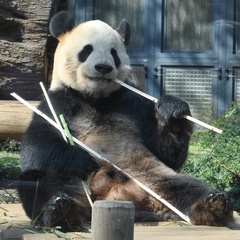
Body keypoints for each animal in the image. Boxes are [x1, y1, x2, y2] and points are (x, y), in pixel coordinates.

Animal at [16, 10, 232, 230]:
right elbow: (37, 147)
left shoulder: (132, 103)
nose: (103, 67)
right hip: (71, 180)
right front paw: (81, 159)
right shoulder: (58, 103)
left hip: (152, 176)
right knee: (38, 181)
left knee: (187, 186)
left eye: (114, 53)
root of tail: (115, 195)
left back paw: (212, 206)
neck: (95, 98)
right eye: (87, 50)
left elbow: (165, 153)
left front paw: (173, 112)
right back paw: (59, 211)